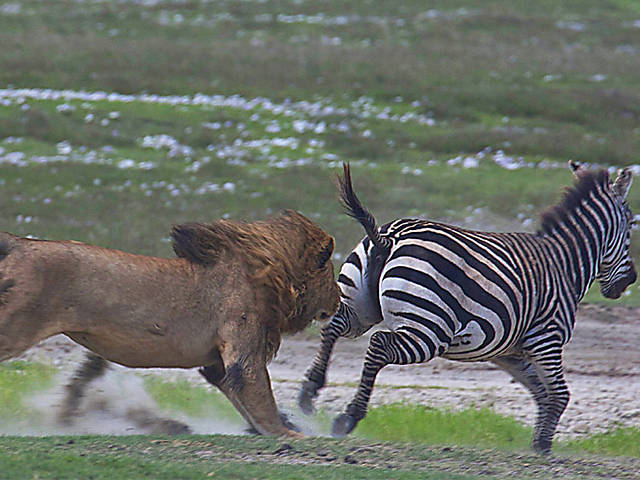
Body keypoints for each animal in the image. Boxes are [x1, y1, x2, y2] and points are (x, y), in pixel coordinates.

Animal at [1, 210, 340, 436]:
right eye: (329, 273)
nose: (339, 299)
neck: (268, 275)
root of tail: (20, 243)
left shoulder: (217, 363)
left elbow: (247, 403)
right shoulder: (243, 352)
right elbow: (261, 398)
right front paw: (289, 435)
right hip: (15, 326)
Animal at [300, 161, 636, 454]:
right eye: (632, 226)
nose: (631, 279)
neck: (565, 263)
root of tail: (389, 237)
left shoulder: (510, 353)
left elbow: (541, 392)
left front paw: (538, 443)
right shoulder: (546, 339)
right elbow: (559, 394)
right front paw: (543, 446)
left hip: (361, 305)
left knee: (334, 326)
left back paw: (309, 392)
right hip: (430, 331)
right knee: (379, 344)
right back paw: (350, 416)